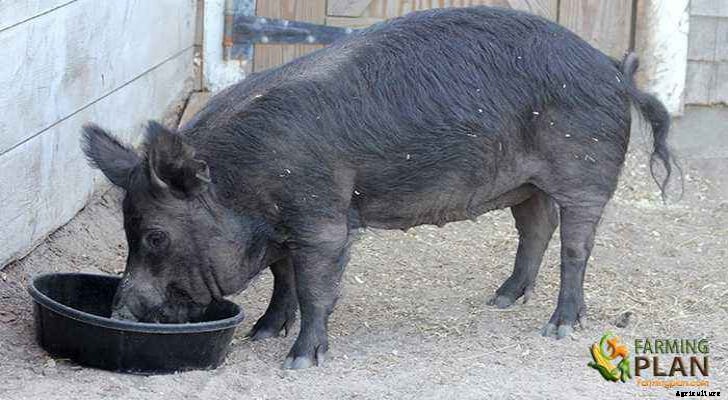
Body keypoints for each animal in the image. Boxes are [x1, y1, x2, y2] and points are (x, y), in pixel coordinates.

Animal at [81, 6, 675, 369]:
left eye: (155, 236)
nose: (120, 312)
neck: (244, 189)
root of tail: (616, 71)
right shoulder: (284, 229)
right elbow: (283, 278)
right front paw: (262, 334)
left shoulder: (322, 216)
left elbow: (314, 286)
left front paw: (299, 361)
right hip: (525, 182)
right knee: (536, 226)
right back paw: (501, 300)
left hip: (584, 170)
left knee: (576, 243)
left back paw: (559, 328)